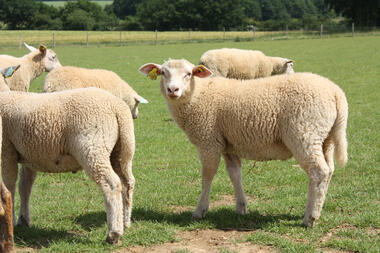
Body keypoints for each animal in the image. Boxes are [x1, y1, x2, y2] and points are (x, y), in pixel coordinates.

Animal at [0, 64, 136, 243]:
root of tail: (116, 108)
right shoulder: (29, 155)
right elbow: (25, 187)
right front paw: (23, 220)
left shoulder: (6, 150)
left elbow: (9, 187)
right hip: (122, 151)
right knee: (127, 183)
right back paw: (125, 222)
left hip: (92, 148)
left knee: (112, 184)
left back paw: (114, 233)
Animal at [139, 58, 348, 227]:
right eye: (163, 73)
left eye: (188, 74)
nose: (172, 90)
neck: (197, 95)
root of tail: (336, 93)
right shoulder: (229, 145)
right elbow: (235, 174)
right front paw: (241, 207)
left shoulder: (208, 141)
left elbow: (208, 175)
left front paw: (200, 210)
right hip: (325, 138)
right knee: (329, 171)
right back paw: (315, 210)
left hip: (304, 133)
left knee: (318, 172)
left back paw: (310, 218)